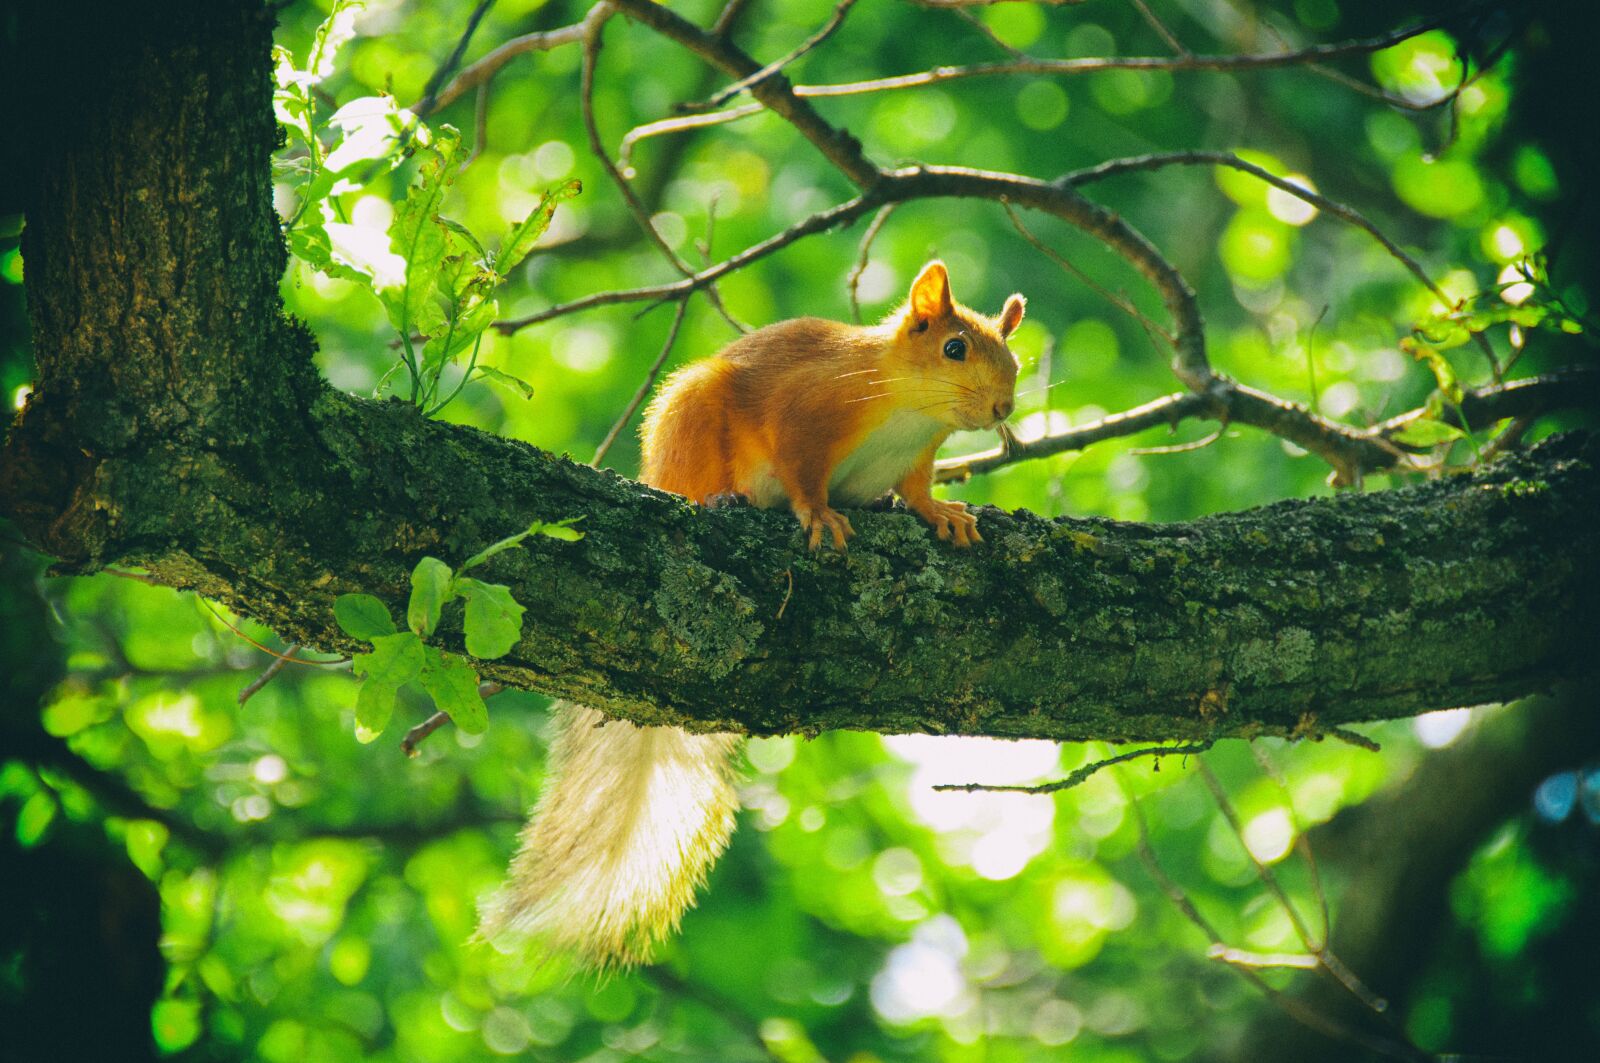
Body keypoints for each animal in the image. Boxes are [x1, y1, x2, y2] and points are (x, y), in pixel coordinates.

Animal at [480, 260, 1026, 967]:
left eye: (1013, 358)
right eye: (954, 348)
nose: (1003, 409)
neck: (906, 410)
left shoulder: (917, 455)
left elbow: (915, 490)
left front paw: (941, 514)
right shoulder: (805, 413)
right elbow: (800, 473)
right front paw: (820, 515)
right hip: (690, 417)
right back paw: (721, 497)